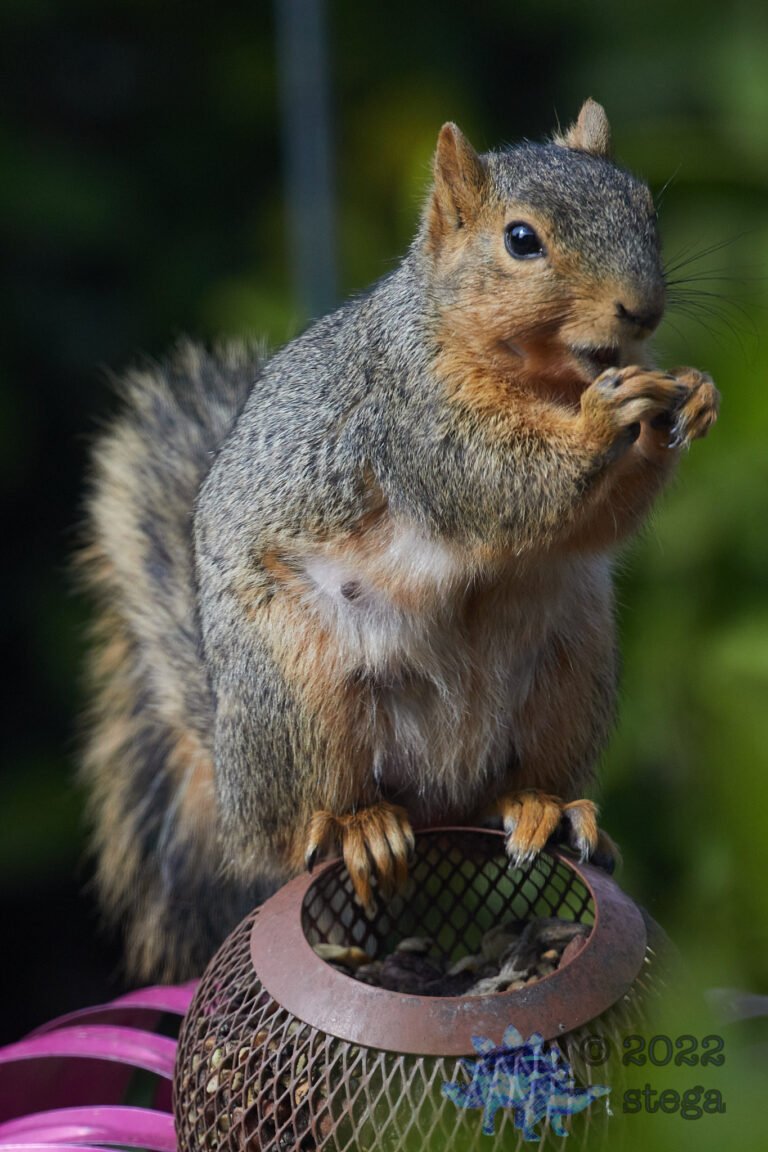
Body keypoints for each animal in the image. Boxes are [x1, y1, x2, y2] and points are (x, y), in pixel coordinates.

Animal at [80, 100, 719, 982]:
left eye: (645, 208)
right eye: (522, 240)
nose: (641, 311)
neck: (546, 377)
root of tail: (235, 789)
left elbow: (596, 523)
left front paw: (690, 395)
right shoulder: (410, 416)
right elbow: (498, 482)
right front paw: (606, 417)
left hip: (571, 670)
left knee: (502, 789)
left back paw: (543, 807)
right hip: (298, 692)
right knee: (301, 828)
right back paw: (358, 827)